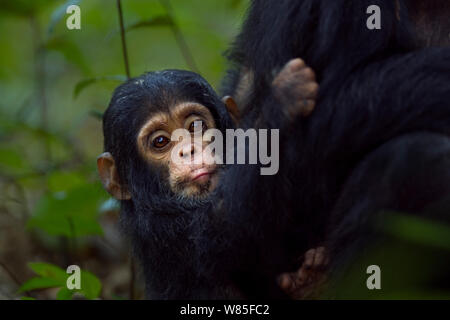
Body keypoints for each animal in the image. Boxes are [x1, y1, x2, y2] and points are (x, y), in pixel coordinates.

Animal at [98, 58, 324, 298]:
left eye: (195, 126)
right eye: (160, 141)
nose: (189, 150)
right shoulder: (167, 229)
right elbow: (229, 223)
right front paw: (281, 100)